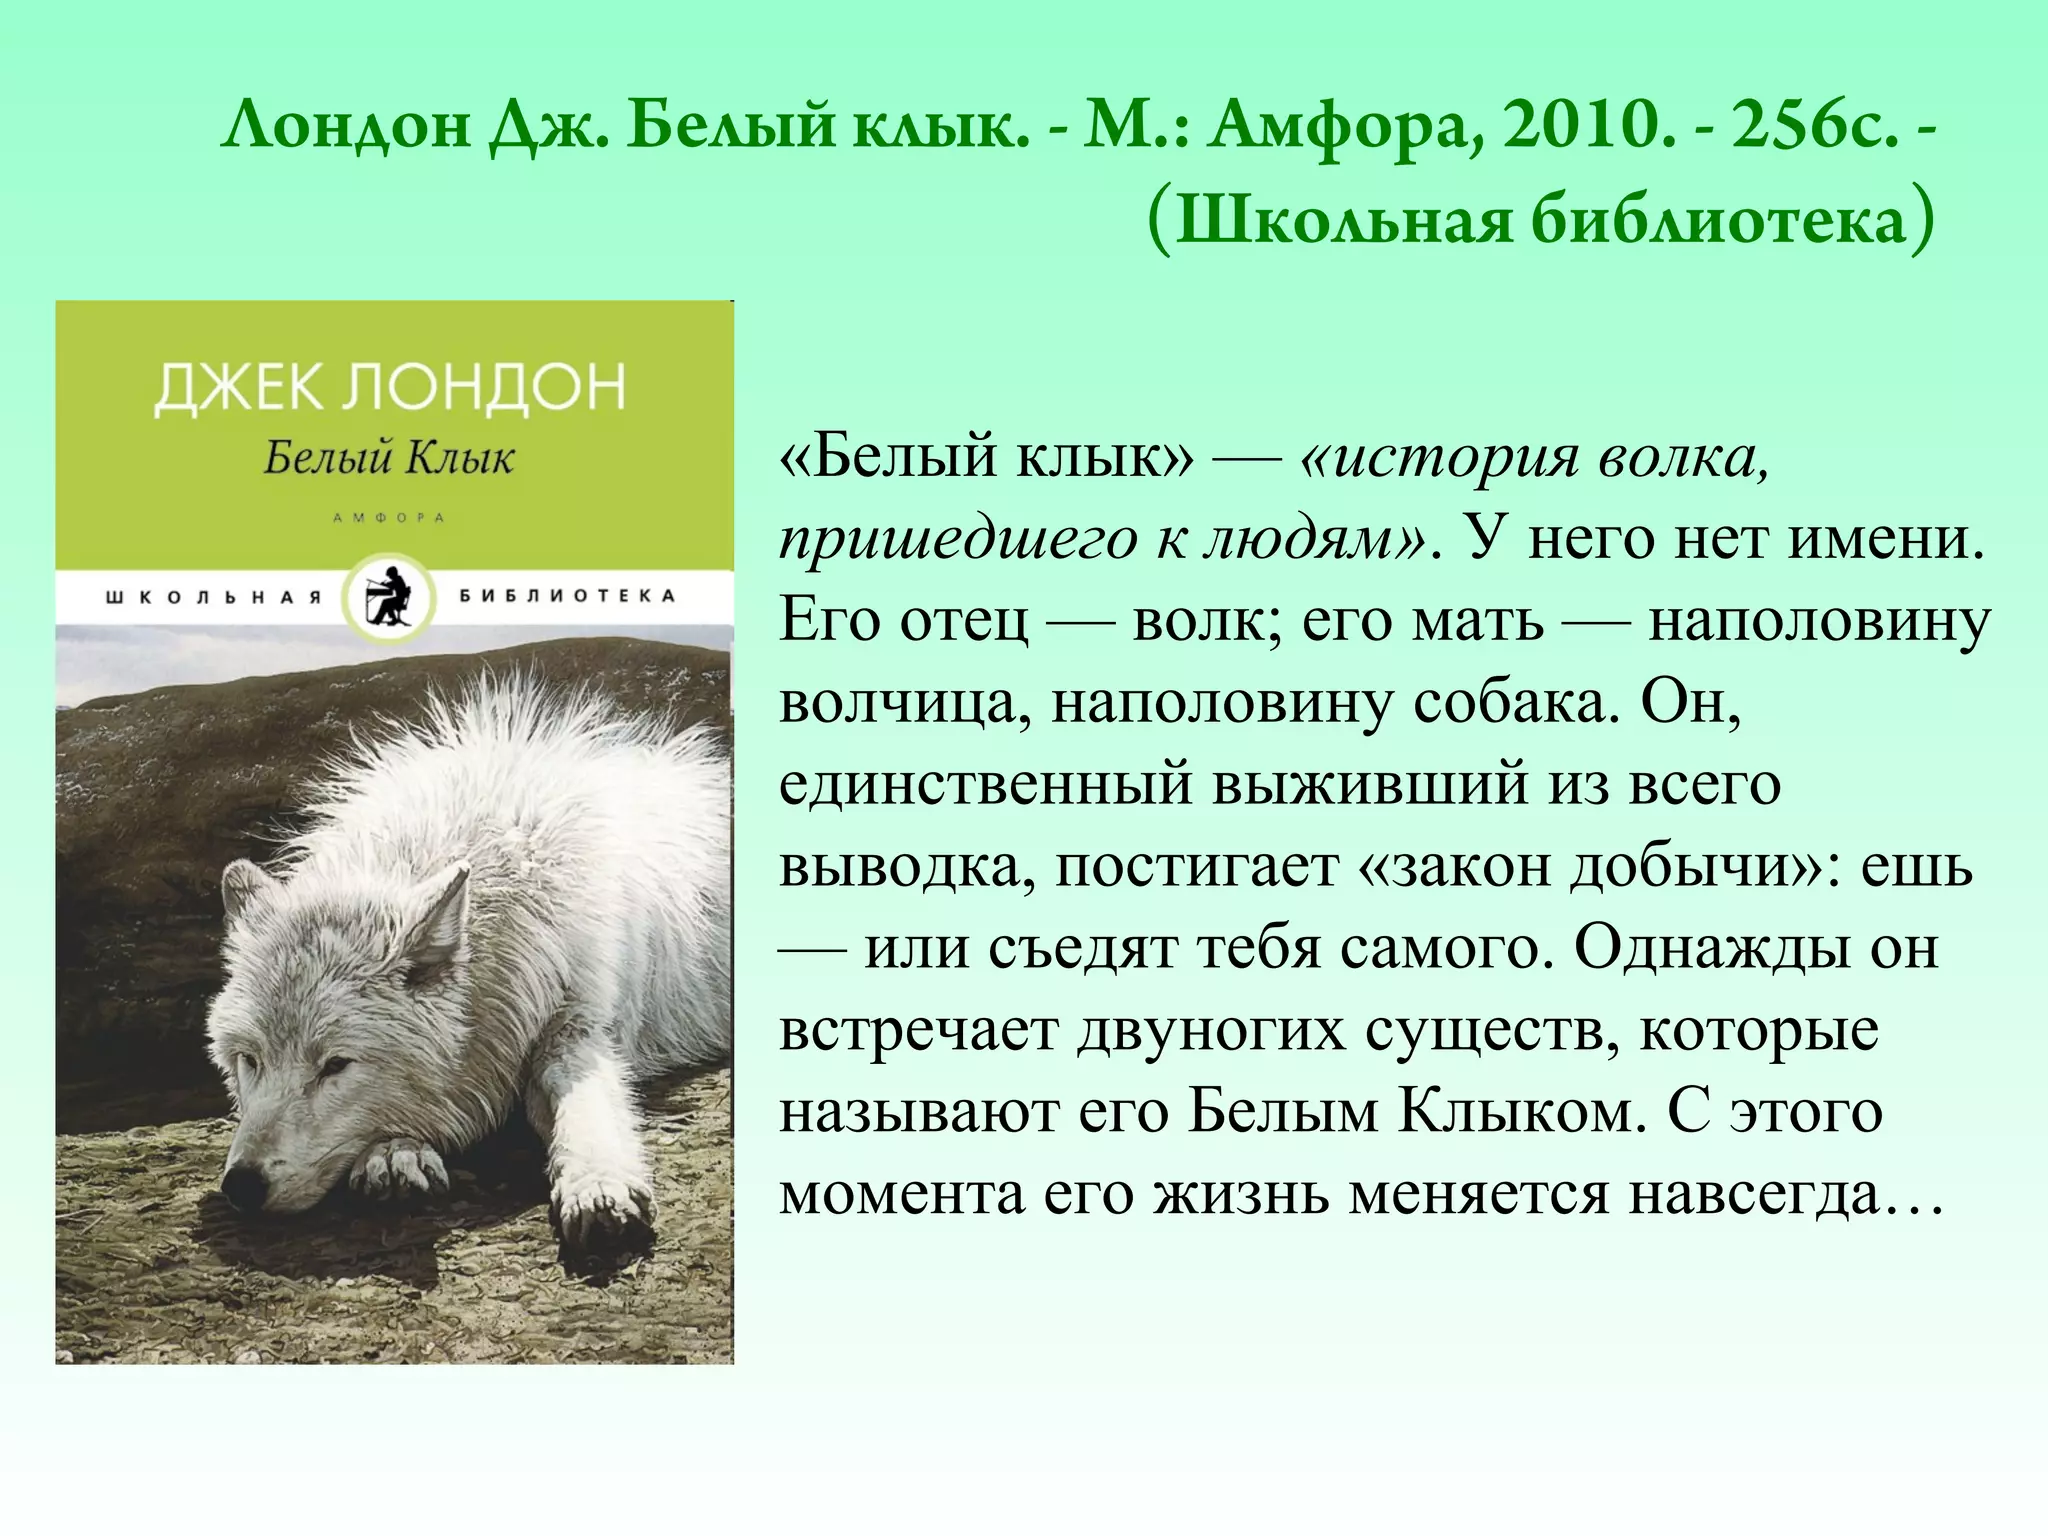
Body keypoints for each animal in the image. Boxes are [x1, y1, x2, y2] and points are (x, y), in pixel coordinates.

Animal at [203, 675, 731, 1257]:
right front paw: (396, 1153)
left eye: (335, 1065)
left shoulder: (578, 1024)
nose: (241, 1186)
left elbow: (585, 1103)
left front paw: (597, 1185)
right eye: (250, 1060)